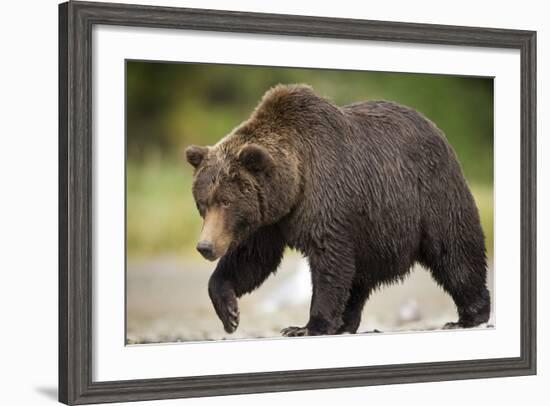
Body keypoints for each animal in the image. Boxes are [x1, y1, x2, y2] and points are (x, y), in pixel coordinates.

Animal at [185, 83, 492, 336]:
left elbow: (328, 259)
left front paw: (309, 326)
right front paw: (230, 313)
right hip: (372, 229)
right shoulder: (270, 218)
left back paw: (468, 316)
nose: (205, 247)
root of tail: (435, 128)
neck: (294, 185)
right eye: (203, 202)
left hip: (430, 195)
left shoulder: (325, 197)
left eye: (226, 200)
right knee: (359, 277)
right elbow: (252, 258)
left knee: (453, 250)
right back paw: (347, 322)